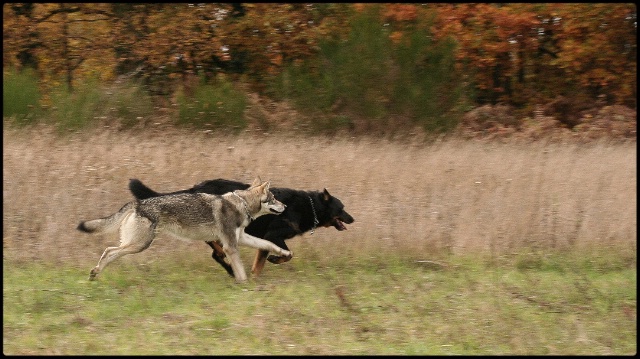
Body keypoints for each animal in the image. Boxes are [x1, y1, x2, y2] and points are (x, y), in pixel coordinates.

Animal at [77, 179, 290, 282]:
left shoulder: (241, 238)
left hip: (134, 245)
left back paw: (95, 275)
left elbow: (268, 244)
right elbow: (240, 270)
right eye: (274, 198)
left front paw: (284, 253)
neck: (241, 204)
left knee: (110, 252)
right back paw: (95, 273)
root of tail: (138, 203)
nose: (286, 206)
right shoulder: (230, 246)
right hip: (139, 245)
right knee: (108, 251)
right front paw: (245, 285)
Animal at [126, 179, 356, 278]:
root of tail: (195, 188)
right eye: (342, 208)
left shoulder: (264, 239)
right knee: (216, 251)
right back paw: (228, 265)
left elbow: (261, 260)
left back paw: (228, 267)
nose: (353, 219)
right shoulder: (274, 234)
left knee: (215, 251)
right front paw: (273, 261)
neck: (309, 206)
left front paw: (255, 274)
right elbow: (285, 254)